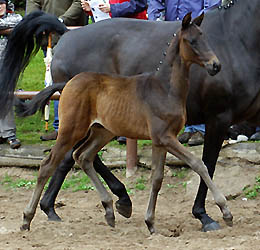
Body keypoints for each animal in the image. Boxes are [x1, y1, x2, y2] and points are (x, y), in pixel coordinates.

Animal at [0, 0, 260, 232]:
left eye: (206, 38)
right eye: (192, 41)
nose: (216, 65)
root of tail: (66, 35)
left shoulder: (165, 138)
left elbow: (159, 177)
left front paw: (153, 222)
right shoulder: (207, 122)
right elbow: (203, 164)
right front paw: (213, 214)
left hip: (100, 129)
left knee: (79, 156)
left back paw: (80, 207)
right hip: (76, 127)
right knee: (55, 161)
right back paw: (35, 215)